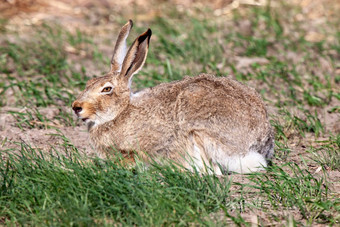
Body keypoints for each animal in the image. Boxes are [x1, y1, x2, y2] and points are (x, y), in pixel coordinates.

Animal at [71, 20, 274, 175]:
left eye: (107, 89)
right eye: (89, 82)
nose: (76, 107)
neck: (120, 112)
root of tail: (259, 143)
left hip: (199, 132)